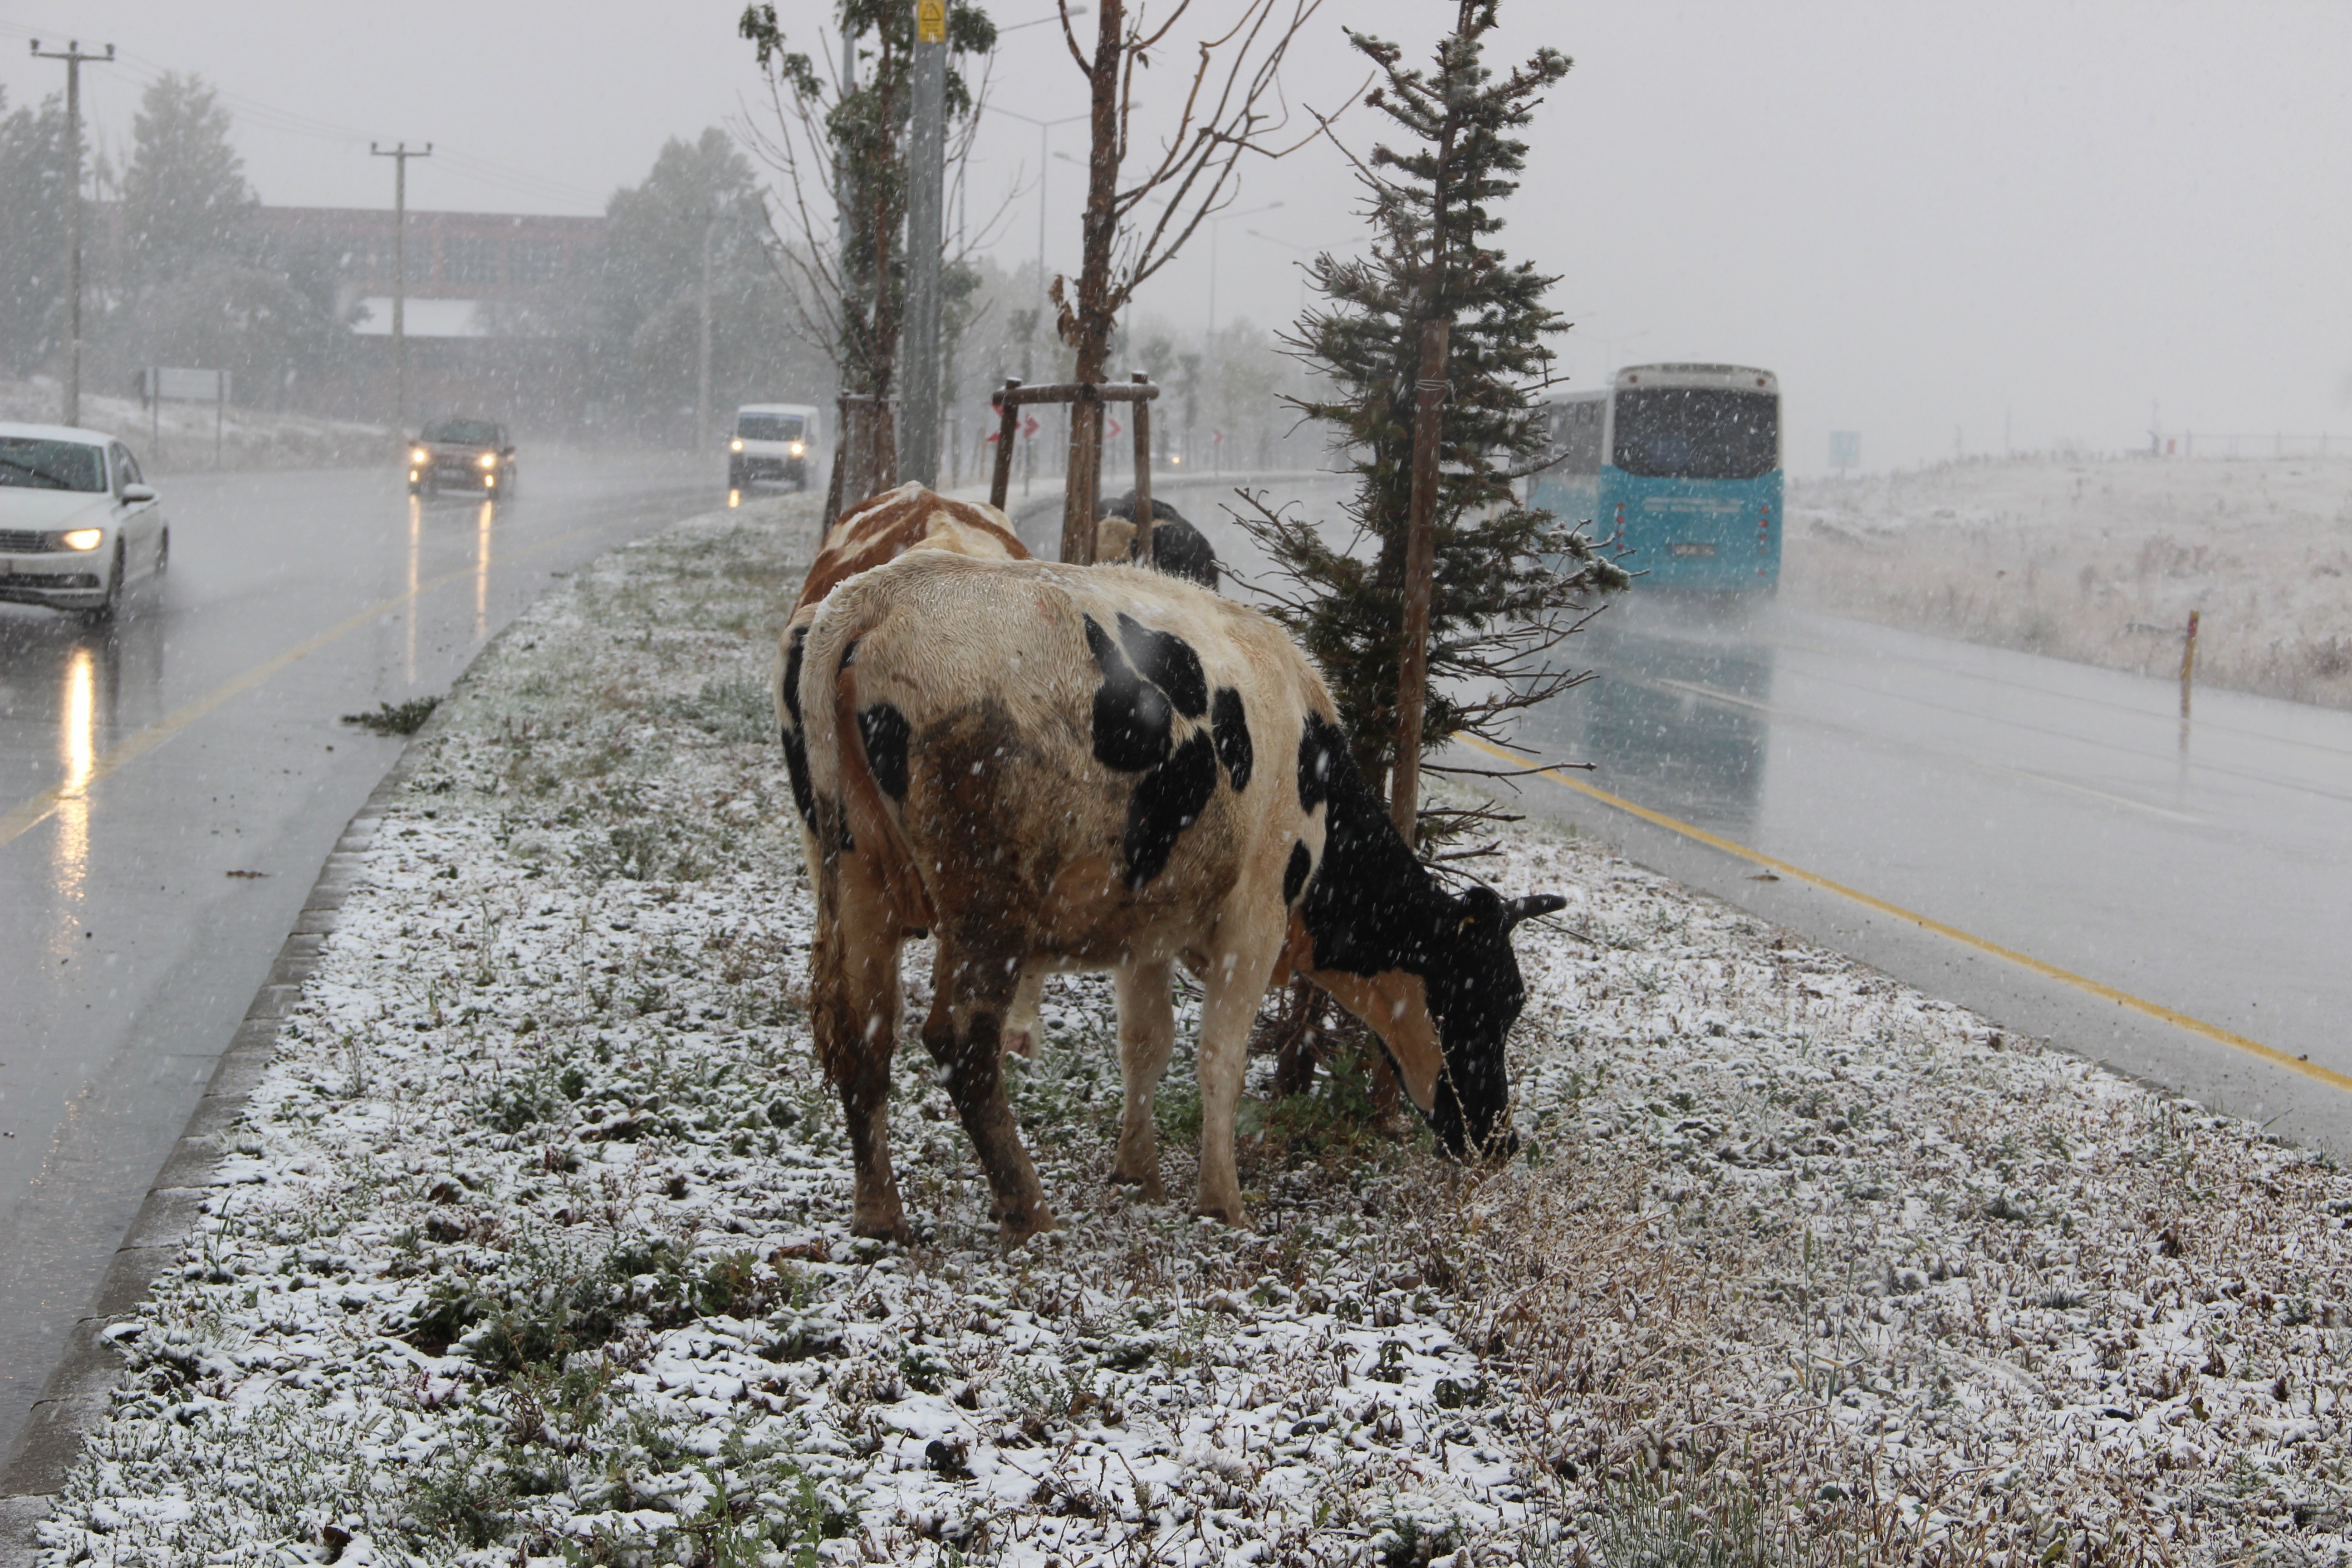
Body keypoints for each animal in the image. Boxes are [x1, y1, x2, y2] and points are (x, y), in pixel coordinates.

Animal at [790, 550, 1562, 1241]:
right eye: (1498, 999)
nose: (1500, 1140)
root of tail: (881, 593)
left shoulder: (1150, 926)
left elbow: (1146, 1043)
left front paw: (1138, 1171)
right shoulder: (1255, 919)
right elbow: (1221, 1055)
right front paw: (1222, 1202)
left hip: (857, 884)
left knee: (864, 1038)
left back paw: (880, 1215)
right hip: (988, 909)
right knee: (960, 1043)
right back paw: (1029, 1212)